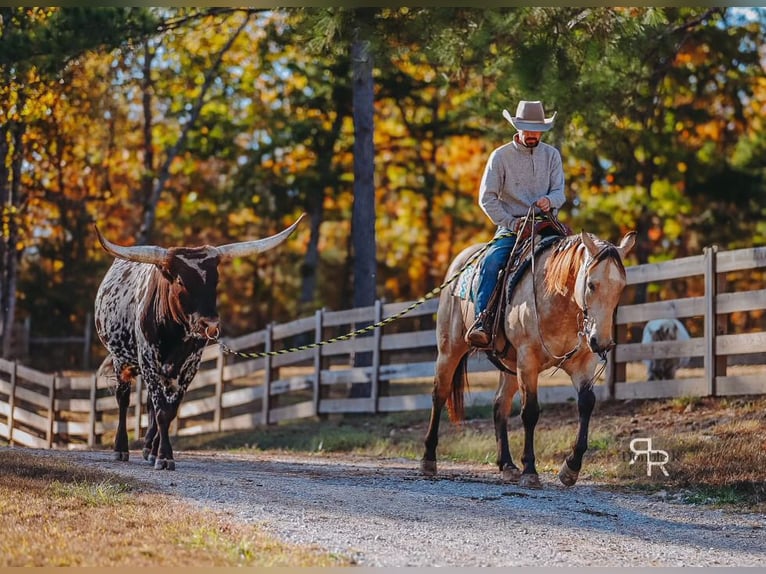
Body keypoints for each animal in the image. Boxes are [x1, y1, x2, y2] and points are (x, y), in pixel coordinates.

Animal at [421, 228, 636, 488]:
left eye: (621, 287)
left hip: (510, 366)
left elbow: (586, 403)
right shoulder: (528, 361)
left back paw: (507, 465)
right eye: (592, 285)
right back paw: (428, 460)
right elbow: (530, 412)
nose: (601, 342)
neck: (558, 300)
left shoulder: (583, 363)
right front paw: (530, 471)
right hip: (450, 349)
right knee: (439, 394)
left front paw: (571, 468)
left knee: (499, 405)